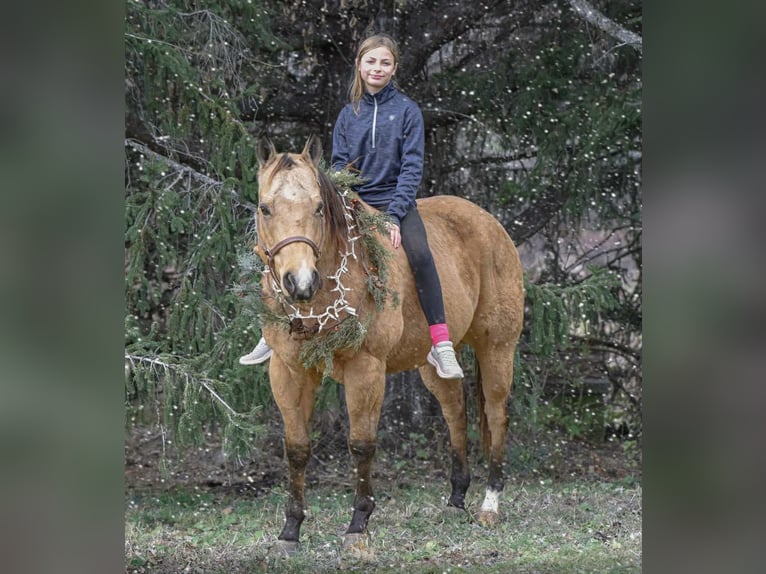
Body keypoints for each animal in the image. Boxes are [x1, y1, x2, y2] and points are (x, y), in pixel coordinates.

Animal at [252, 135, 524, 554]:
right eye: (265, 208)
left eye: (318, 207)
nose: (300, 282)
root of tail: (491, 224)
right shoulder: (288, 371)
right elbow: (297, 449)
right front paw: (290, 530)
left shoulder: (366, 369)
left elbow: (361, 444)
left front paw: (358, 524)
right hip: (431, 365)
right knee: (455, 412)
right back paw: (456, 499)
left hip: (497, 348)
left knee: (496, 415)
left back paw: (489, 505)